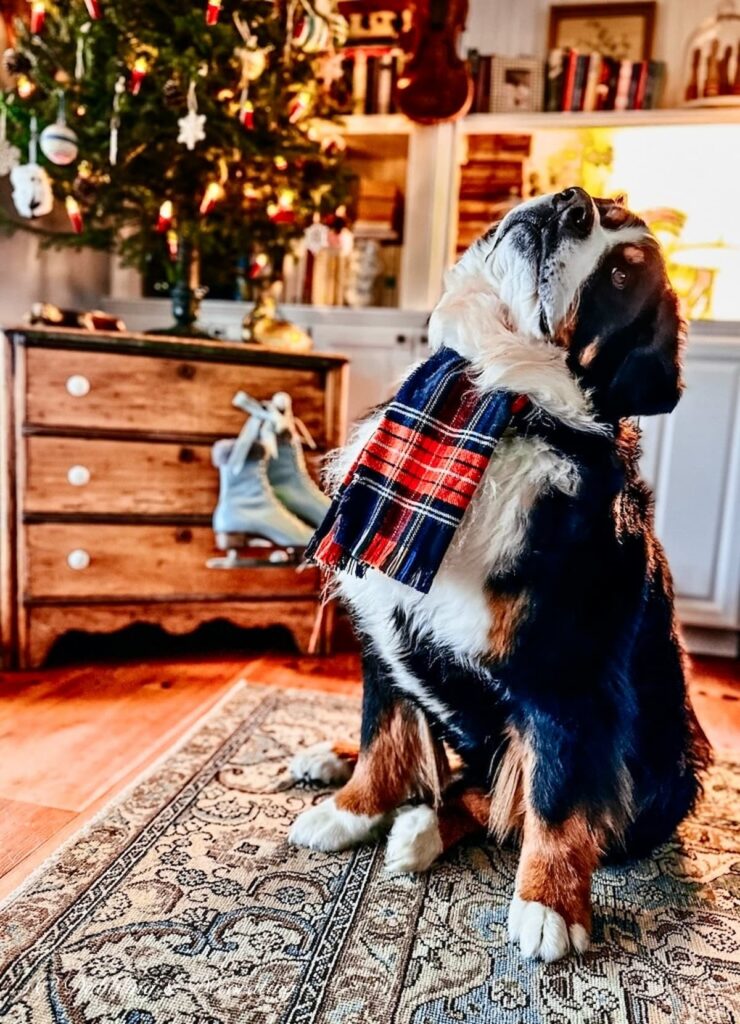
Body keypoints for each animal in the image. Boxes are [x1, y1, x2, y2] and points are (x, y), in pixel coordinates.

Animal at [288, 188, 712, 962]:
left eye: (620, 276)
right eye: (603, 210)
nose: (571, 205)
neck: (498, 400)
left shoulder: (568, 675)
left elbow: (556, 798)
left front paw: (548, 906)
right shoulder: (383, 632)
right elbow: (382, 734)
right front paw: (350, 810)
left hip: (663, 774)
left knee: (493, 793)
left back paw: (422, 832)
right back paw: (332, 764)